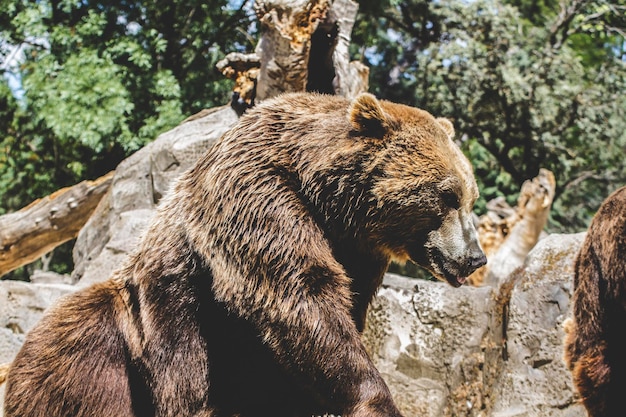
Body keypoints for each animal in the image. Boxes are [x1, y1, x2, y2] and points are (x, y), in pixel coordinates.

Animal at [2, 92, 486, 416]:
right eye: (446, 195)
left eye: (470, 196)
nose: (475, 257)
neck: (328, 199)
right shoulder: (258, 193)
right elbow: (299, 296)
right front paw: (375, 400)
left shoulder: (358, 249)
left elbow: (337, 312)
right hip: (128, 337)